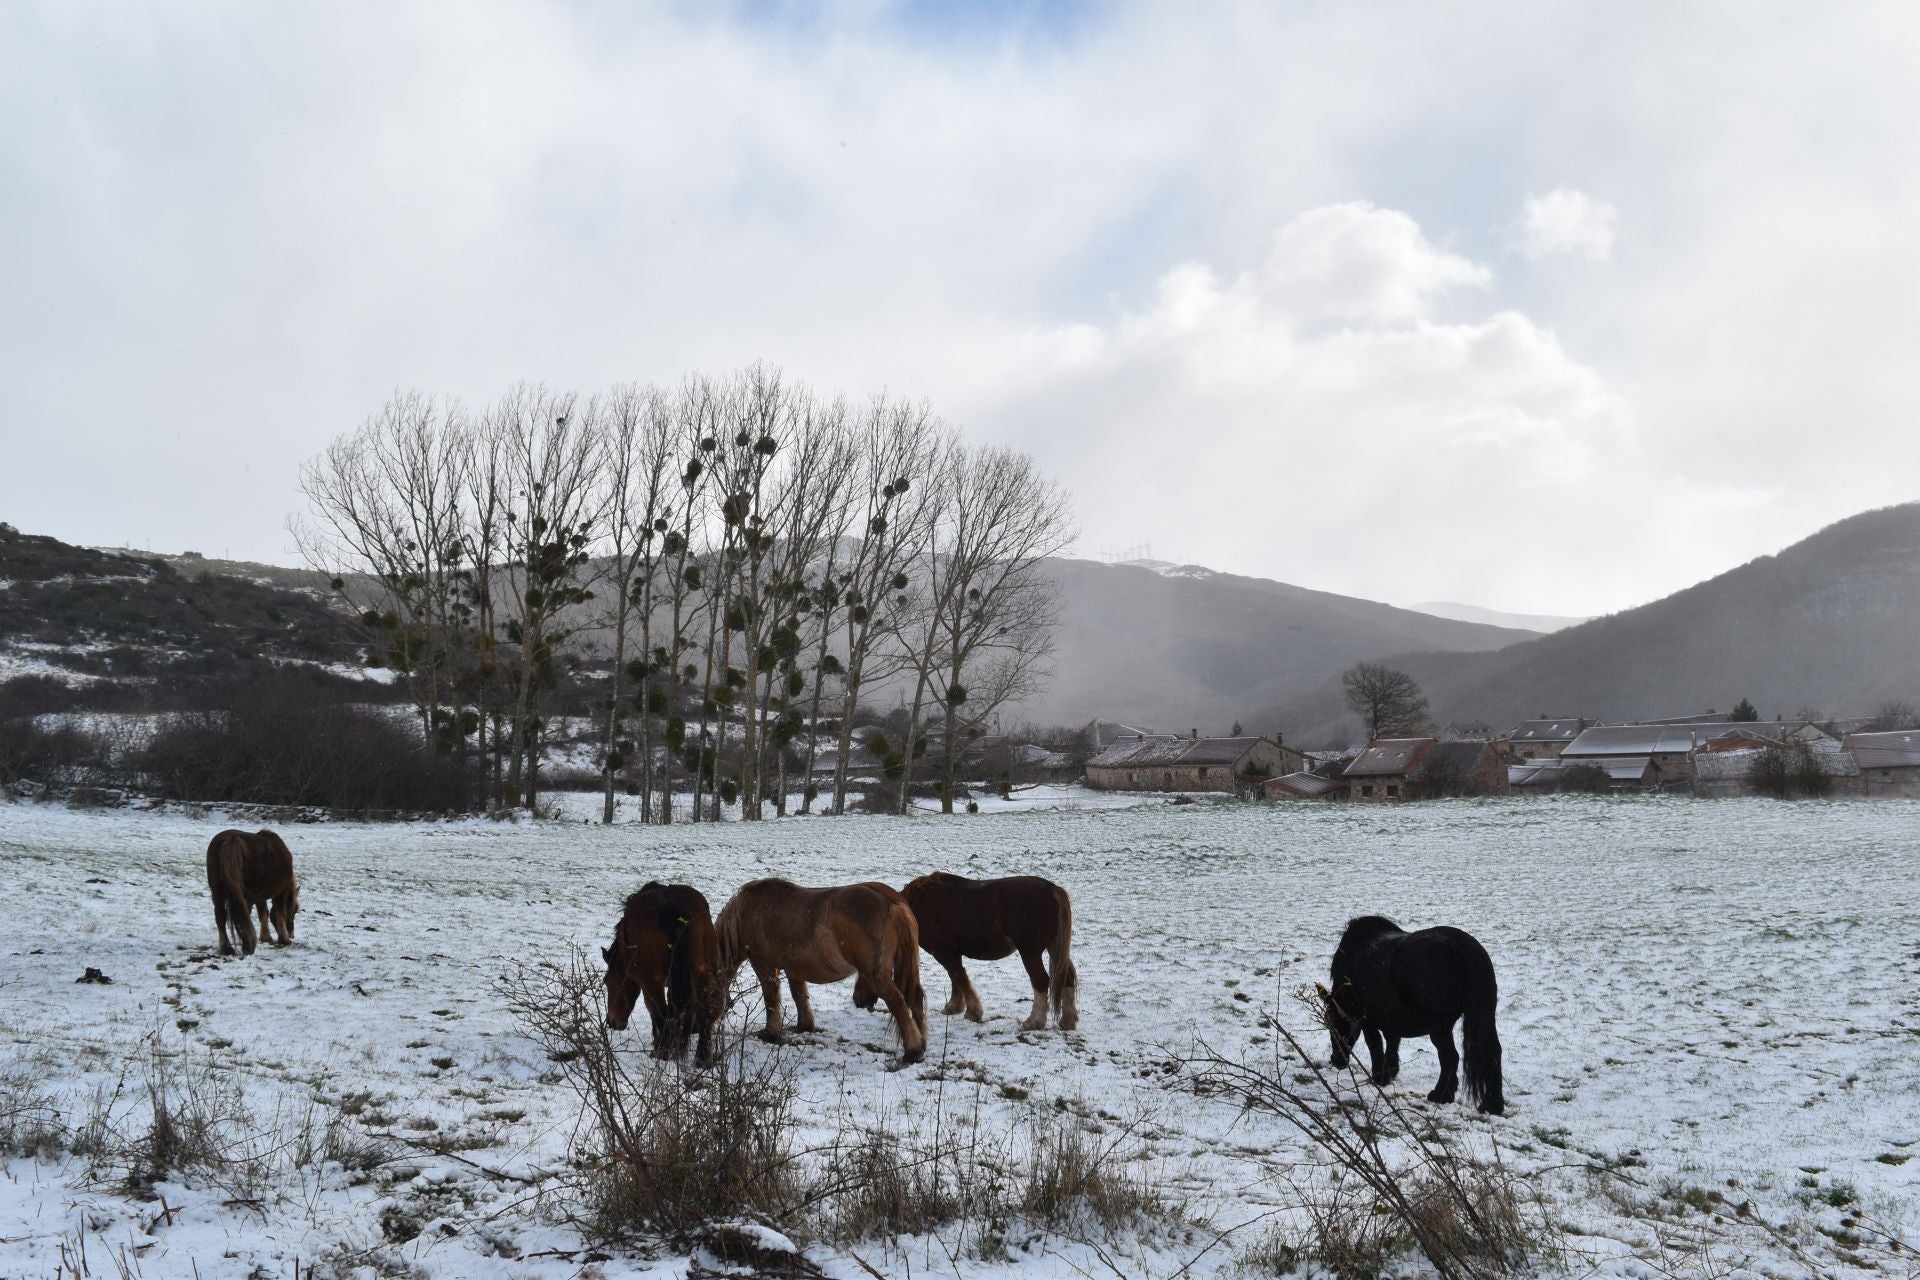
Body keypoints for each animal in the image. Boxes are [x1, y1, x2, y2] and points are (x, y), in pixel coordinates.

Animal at [204, 825, 297, 955]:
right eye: (294, 911)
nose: (292, 935)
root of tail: (230, 839)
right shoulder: (280, 893)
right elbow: (280, 913)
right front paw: (284, 939)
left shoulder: (259, 897)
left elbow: (263, 914)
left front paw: (266, 937)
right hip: (245, 894)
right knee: (244, 914)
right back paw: (247, 944)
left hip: (217, 891)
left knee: (220, 916)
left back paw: (226, 948)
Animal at [599, 886, 721, 1066]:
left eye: (607, 981)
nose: (612, 1022)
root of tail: (670, 907)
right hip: (703, 974)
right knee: (705, 1012)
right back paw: (702, 1060)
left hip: (652, 982)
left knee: (661, 1014)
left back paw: (661, 1054)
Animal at [721, 875, 929, 1066]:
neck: (748, 912)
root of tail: (891, 902)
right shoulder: (794, 969)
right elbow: (799, 996)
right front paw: (804, 1026)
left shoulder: (765, 967)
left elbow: (771, 999)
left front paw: (770, 1034)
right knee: (915, 999)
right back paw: (922, 1044)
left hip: (876, 976)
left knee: (898, 1004)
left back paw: (913, 1052)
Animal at [860, 875, 1082, 1036]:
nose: (863, 1004)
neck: (919, 906)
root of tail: (1052, 889)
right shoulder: (951, 953)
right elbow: (955, 979)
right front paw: (954, 1006)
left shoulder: (944, 953)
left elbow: (959, 978)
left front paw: (973, 1012)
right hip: (1053, 947)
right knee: (1067, 976)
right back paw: (1068, 1020)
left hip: (1030, 951)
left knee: (1041, 980)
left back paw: (1034, 1022)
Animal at [1313, 917, 1505, 1113]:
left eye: (1334, 1025)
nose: (1336, 1061)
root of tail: (1466, 950)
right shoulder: (1390, 1017)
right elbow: (1392, 1042)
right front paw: (1390, 1072)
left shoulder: (1366, 1018)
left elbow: (1375, 1044)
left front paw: (1379, 1077)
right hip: (1485, 1015)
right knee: (1493, 1051)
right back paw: (1493, 1104)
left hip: (1440, 1027)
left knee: (1450, 1056)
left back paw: (1441, 1095)